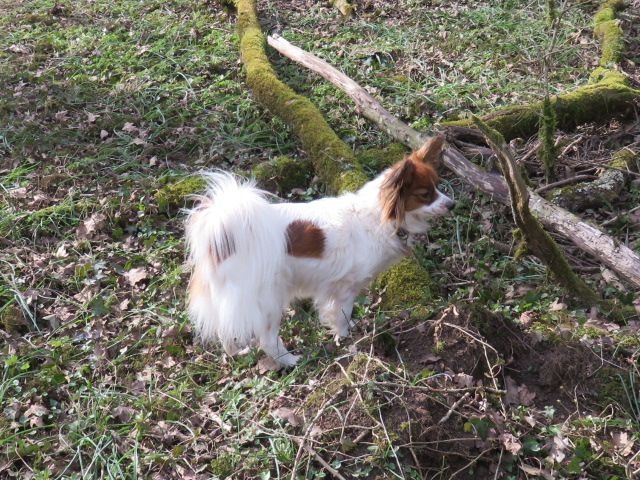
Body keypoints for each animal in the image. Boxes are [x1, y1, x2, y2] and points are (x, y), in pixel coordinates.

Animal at [186, 136, 456, 368]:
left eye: (437, 187)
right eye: (425, 195)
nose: (452, 204)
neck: (378, 216)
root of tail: (223, 235)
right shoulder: (345, 287)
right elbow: (342, 314)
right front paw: (345, 337)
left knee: (224, 328)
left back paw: (235, 352)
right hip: (269, 299)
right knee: (267, 339)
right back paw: (288, 360)